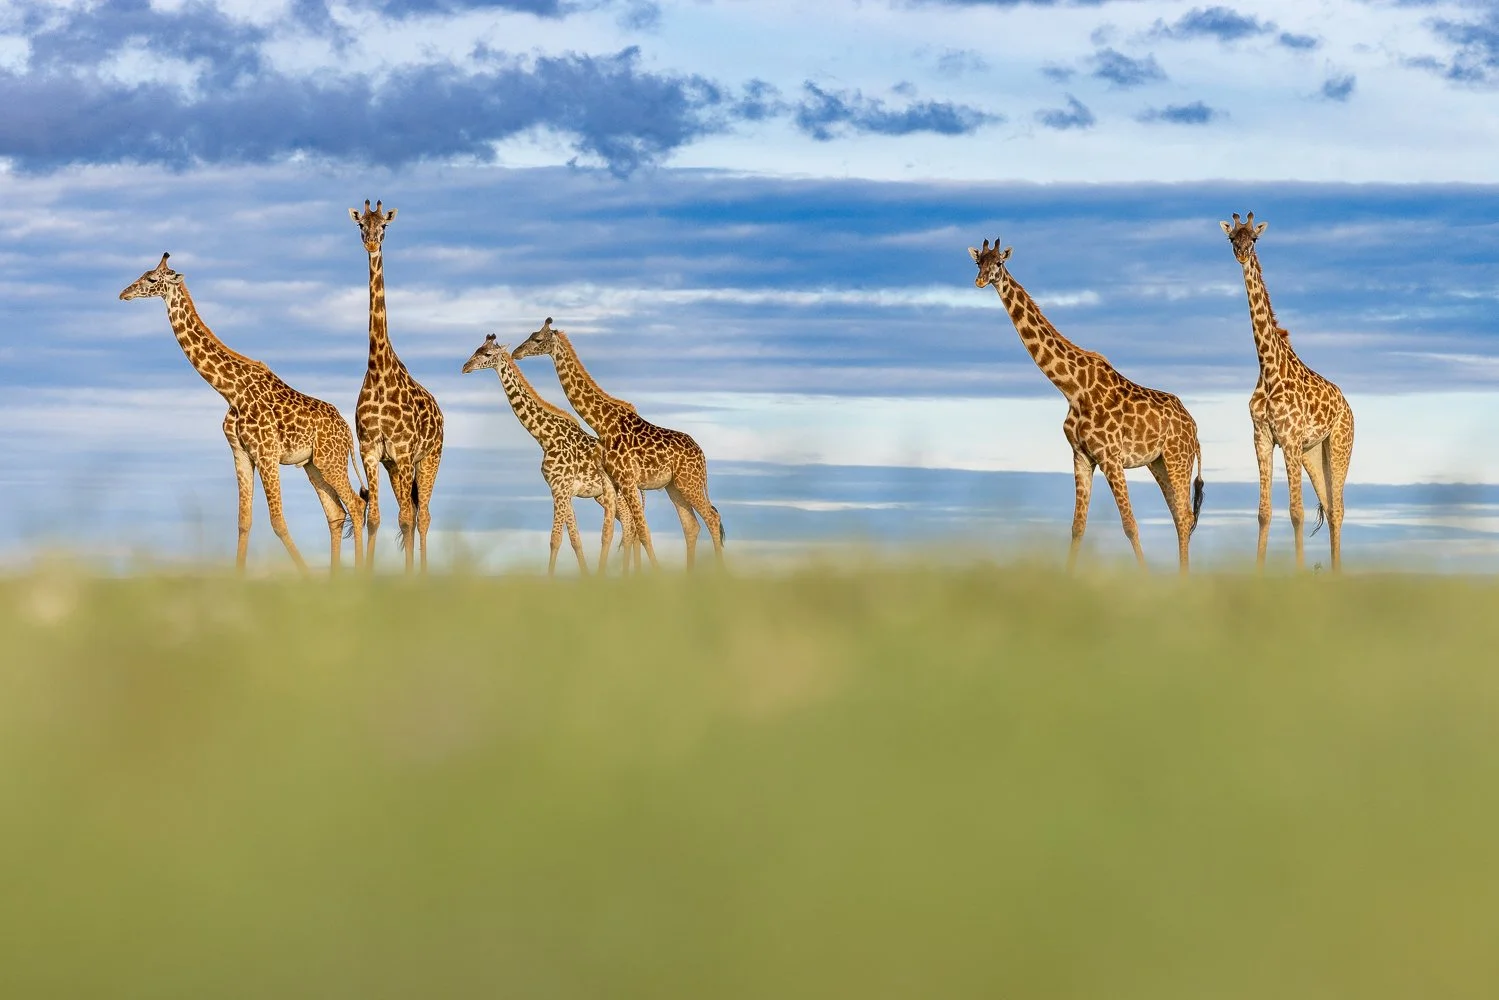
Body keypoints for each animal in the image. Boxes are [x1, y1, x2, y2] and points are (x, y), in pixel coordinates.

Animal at [119, 253, 368, 574]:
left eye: (151, 279)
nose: (124, 293)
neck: (231, 390)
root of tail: (348, 433)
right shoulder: (240, 452)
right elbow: (244, 521)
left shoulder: (267, 453)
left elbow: (277, 521)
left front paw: (306, 576)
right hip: (313, 464)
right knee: (336, 513)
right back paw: (336, 577)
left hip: (330, 460)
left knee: (356, 505)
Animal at [461, 333, 629, 575]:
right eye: (476, 349)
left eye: (487, 353)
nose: (465, 367)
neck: (544, 437)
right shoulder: (561, 490)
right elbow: (575, 539)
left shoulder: (560, 488)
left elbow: (555, 539)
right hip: (603, 496)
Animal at [510, 318, 725, 572]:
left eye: (537, 339)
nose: (516, 352)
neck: (602, 423)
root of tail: (702, 455)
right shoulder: (612, 482)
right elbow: (609, 532)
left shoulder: (628, 480)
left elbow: (642, 531)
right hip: (674, 486)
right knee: (691, 526)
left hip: (689, 483)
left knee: (712, 518)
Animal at [970, 237, 1205, 572]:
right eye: (978, 262)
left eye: (999, 263)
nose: (980, 281)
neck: (1073, 388)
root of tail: (1194, 428)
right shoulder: (1081, 456)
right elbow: (1077, 526)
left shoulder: (1110, 457)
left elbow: (1130, 524)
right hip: (1158, 463)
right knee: (1179, 516)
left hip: (1178, 459)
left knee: (1184, 518)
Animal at [1221, 212, 1354, 573]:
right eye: (1232, 238)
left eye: (1254, 239)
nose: (1241, 254)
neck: (1268, 369)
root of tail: (1347, 406)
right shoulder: (1263, 438)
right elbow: (1263, 513)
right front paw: (1258, 572)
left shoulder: (1290, 439)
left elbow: (1296, 512)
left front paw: (1298, 574)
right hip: (1314, 452)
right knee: (1330, 505)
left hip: (1339, 445)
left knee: (1338, 507)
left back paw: (1338, 573)